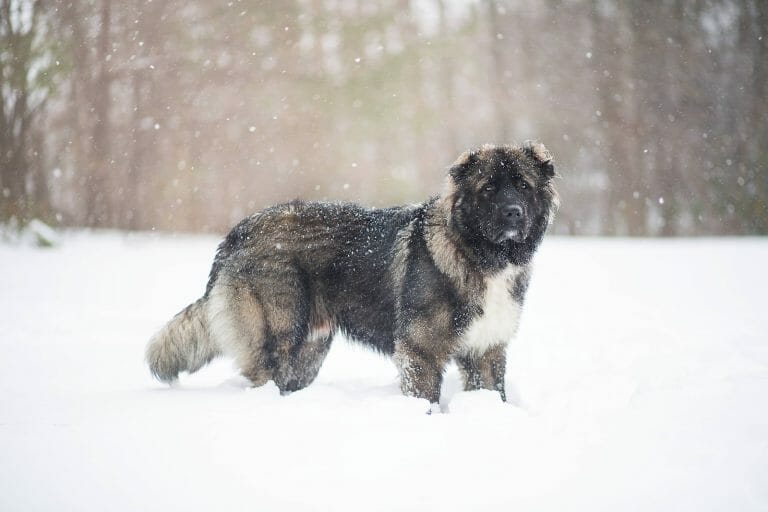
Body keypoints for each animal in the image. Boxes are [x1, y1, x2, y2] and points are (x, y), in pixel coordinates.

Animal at [147, 142, 560, 406]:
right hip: (279, 335)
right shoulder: (420, 351)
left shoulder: (486, 350)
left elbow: (494, 393)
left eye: (523, 186)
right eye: (488, 188)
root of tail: (238, 231)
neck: (478, 254)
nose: (513, 213)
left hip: (310, 350)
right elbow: (425, 398)